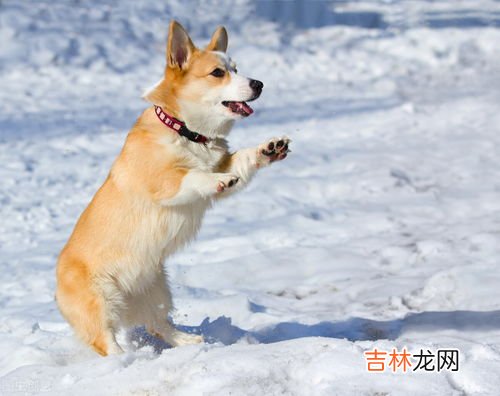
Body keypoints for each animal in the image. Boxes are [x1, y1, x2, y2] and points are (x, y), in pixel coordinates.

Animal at [55, 20, 292, 356]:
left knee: (158, 324)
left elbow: (242, 161)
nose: (259, 84)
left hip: (157, 289)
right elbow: (193, 177)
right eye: (218, 73)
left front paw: (269, 148)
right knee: (105, 341)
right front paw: (216, 180)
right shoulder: (165, 184)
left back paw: (187, 341)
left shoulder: (224, 162)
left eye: (236, 68)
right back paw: (127, 360)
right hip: (100, 301)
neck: (187, 132)